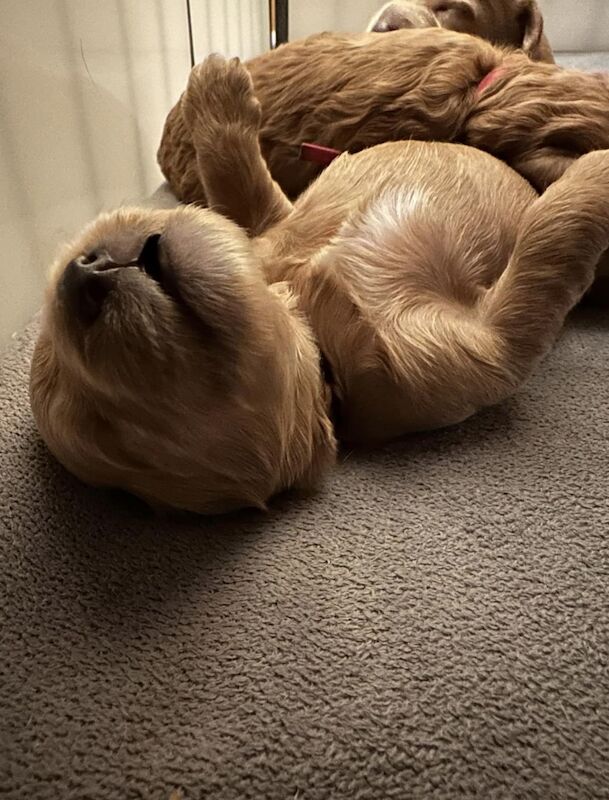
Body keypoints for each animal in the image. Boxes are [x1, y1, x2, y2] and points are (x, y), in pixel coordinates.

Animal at [30, 59, 608, 516]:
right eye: (96, 423)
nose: (85, 269)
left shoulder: (275, 227)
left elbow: (242, 191)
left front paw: (217, 90)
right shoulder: (474, 352)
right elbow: (545, 248)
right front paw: (597, 173)